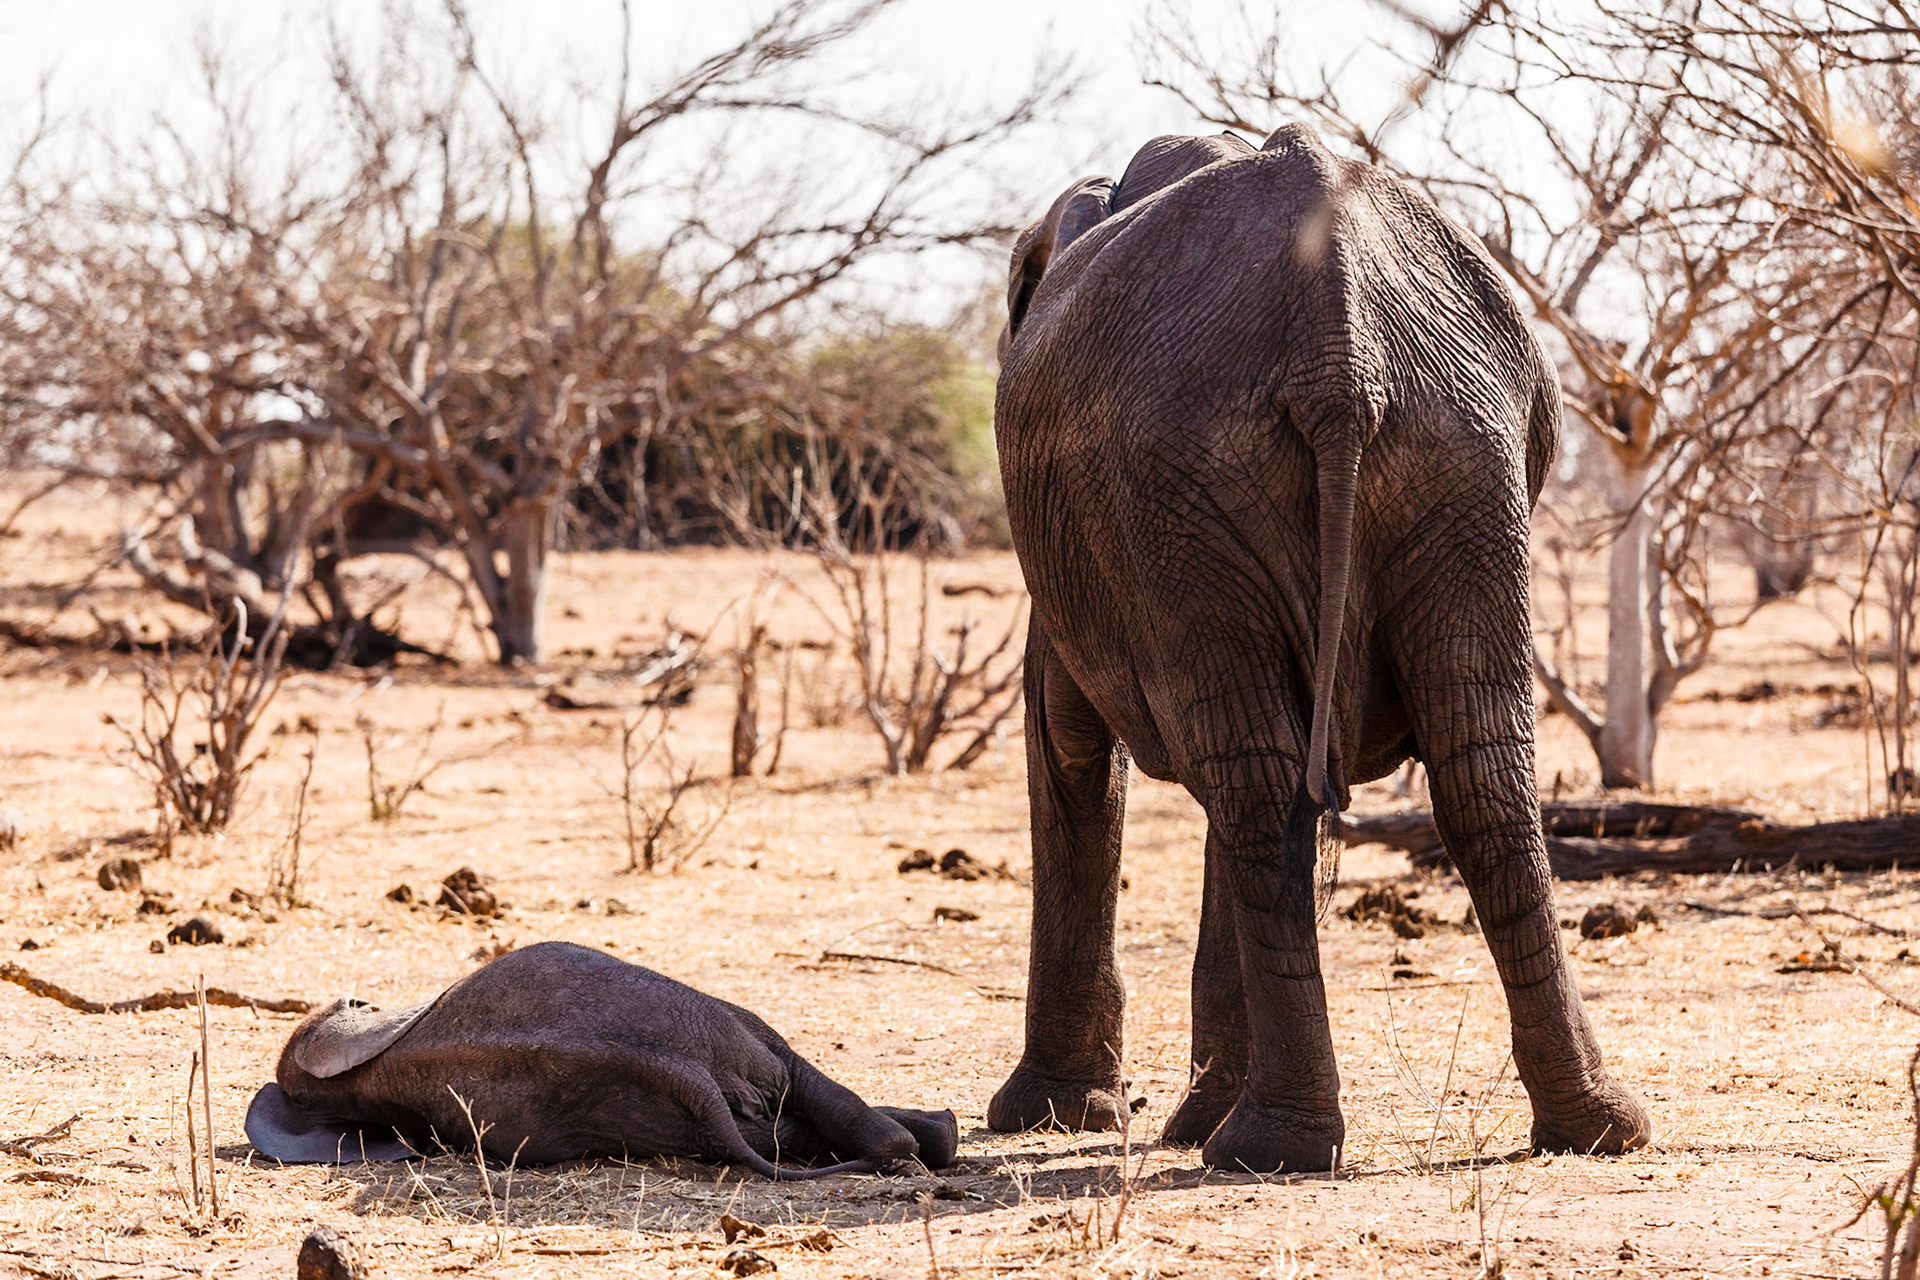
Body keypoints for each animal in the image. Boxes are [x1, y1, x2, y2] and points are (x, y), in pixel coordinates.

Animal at [987, 125, 1651, 1173]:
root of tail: (1338, 352)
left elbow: (1067, 746)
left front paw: (1056, 1117)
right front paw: (1166, 1117)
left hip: (1187, 484)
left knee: (1258, 786)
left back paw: (1262, 1148)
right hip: (1456, 462)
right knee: (1475, 772)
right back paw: (1592, 1129)